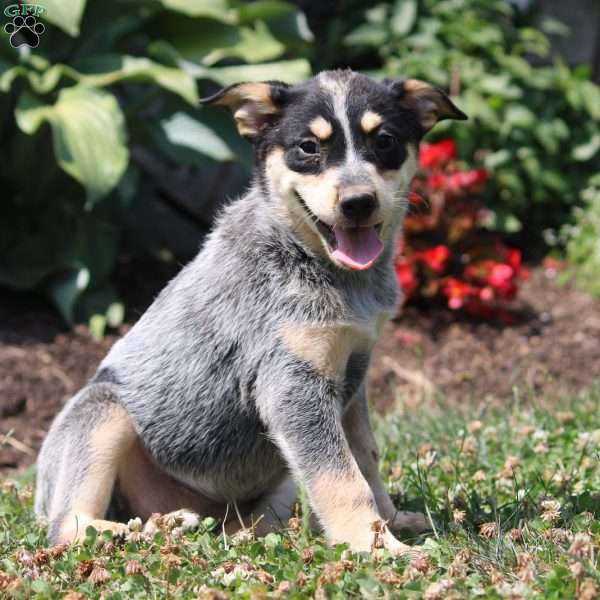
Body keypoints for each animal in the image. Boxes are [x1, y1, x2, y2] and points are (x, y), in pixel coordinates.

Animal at [35, 70, 468, 556]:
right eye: (308, 147)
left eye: (386, 141)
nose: (358, 202)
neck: (309, 259)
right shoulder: (290, 384)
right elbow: (341, 478)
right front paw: (379, 548)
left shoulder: (352, 378)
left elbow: (366, 460)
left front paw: (392, 522)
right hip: (101, 411)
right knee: (66, 527)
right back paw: (134, 531)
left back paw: (189, 527)